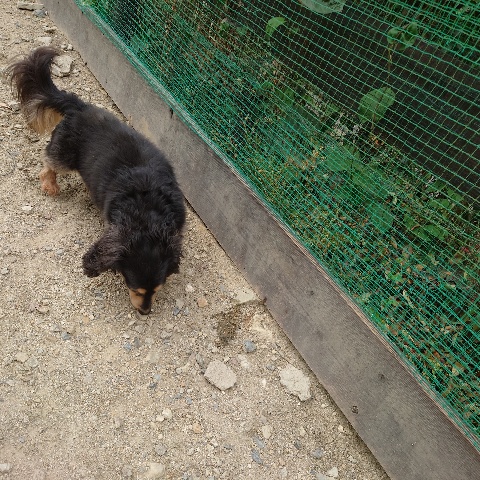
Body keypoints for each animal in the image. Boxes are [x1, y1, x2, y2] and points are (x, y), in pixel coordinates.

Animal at [6, 47, 186, 314]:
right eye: (134, 289)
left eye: (157, 289)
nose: (145, 312)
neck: (147, 212)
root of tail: (80, 107)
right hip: (65, 155)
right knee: (49, 161)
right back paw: (50, 184)